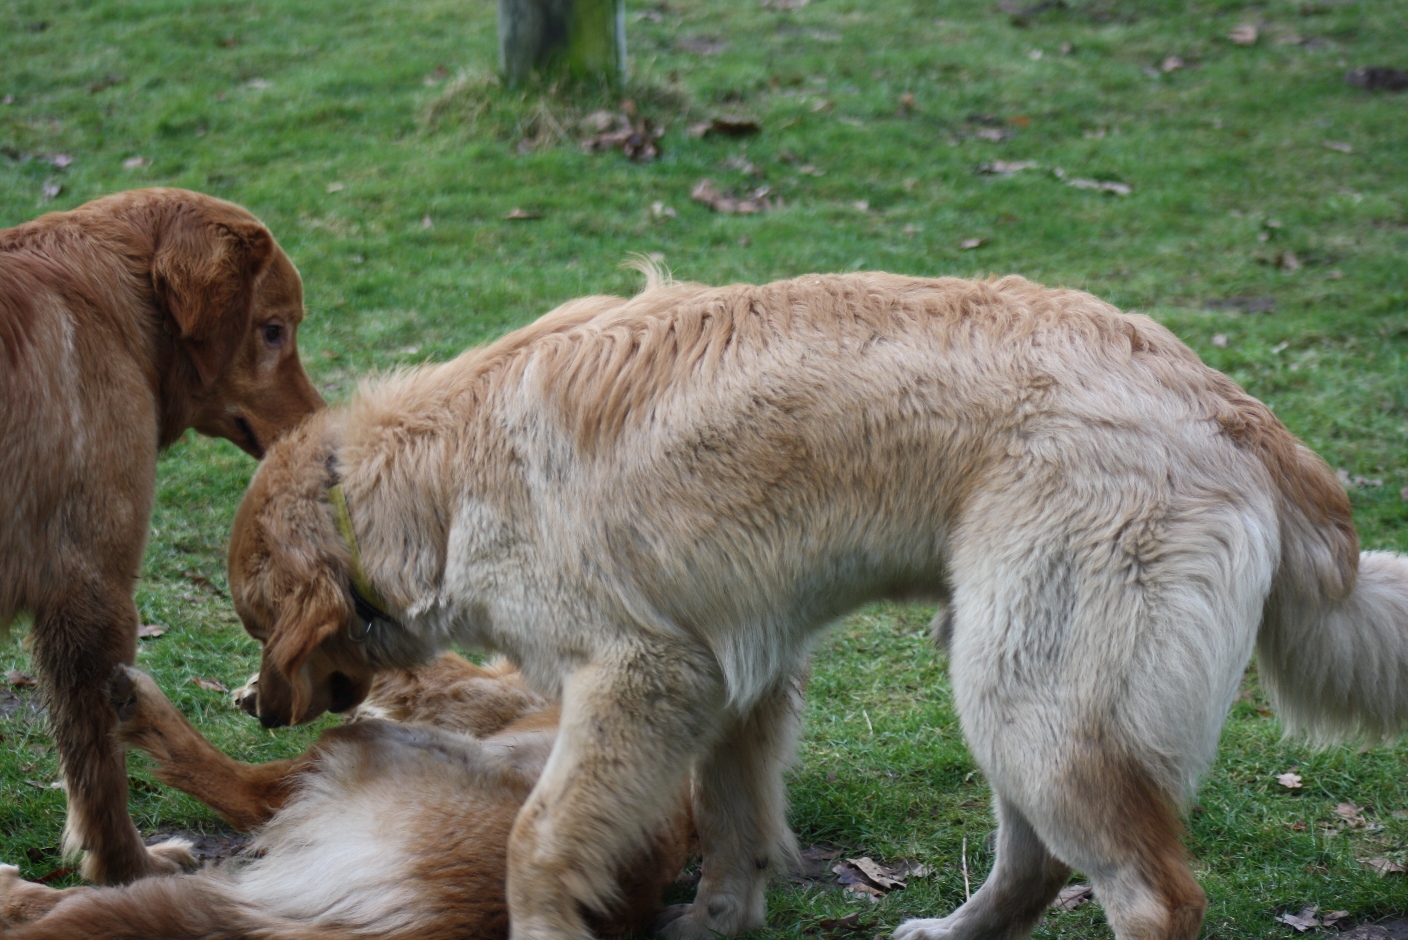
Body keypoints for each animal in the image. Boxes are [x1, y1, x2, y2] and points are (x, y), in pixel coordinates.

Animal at [0, 188, 324, 884]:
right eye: (273, 329)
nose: (319, 426)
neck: (108, 304)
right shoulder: (92, 592)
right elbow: (99, 770)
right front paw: (128, 869)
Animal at [225, 270, 1408, 940]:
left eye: (252, 621)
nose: (253, 708)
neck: (405, 484)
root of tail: (1234, 409)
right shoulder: (733, 680)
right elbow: (737, 829)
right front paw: (716, 924)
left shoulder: (641, 677)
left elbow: (539, 841)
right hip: (1007, 679)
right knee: (1031, 865)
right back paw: (949, 931)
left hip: (1033, 701)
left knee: (1153, 896)